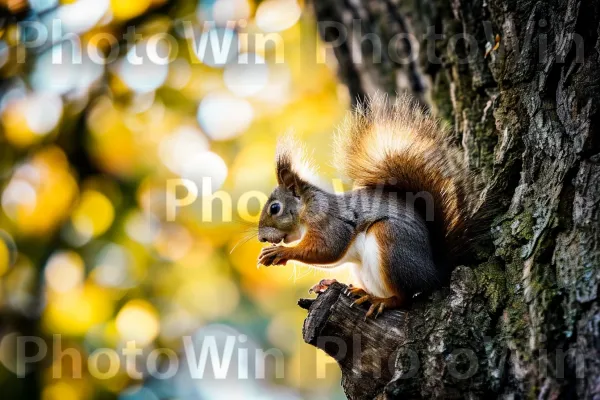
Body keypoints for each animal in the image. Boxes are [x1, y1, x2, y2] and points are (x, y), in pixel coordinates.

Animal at [255, 94, 480, 318]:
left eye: (275, 208)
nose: (261, 238)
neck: (308, 207)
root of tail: (433, 273)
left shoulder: (330, 221)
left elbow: (328, 248)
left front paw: (280, 252)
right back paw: (356, 290)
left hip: (391, 243)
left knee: (404, 298)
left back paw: (381, 301)